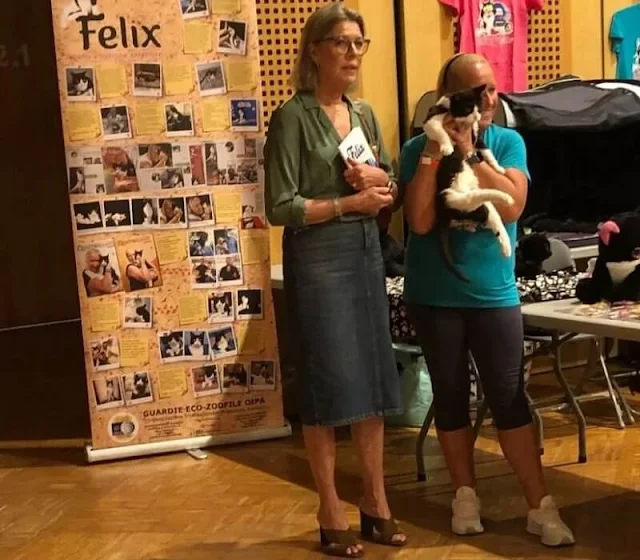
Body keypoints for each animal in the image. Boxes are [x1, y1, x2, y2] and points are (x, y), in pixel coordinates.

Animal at [424, 85, 516, 282]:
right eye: (468, 108)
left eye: (478, 108)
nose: (477, 116)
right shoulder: (431, 121)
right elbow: (440, 130)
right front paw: (447, 147)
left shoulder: (476, 136)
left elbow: (486, 150)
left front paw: (498, 168)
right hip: (454, 197)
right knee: (475, 199)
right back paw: (505, 199)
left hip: (479, 205)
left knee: (492, 217)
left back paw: (505, 245)